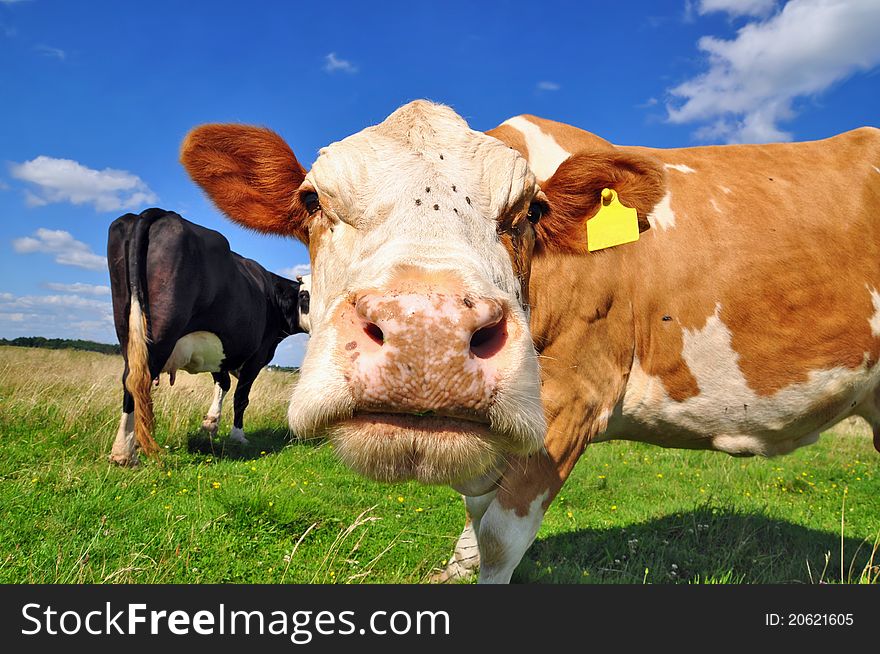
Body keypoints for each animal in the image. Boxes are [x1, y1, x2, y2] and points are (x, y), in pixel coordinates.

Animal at [107, 209, 310, 466]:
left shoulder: (221, 350)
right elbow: (241, 397)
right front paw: (238, 436)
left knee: (129, 380)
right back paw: (125, 452)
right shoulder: (257, 356)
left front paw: (211, 424)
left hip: (127, 330)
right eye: (306, 296)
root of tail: (161, 213)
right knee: (137, 380)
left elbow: (223, 384)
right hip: (160, 338)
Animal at [180, 102, 880, 584]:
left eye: (532, 212)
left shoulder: (571, 397)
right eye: (311, 200)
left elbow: (499, 540)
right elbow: (474, 521)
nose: (426, 333)